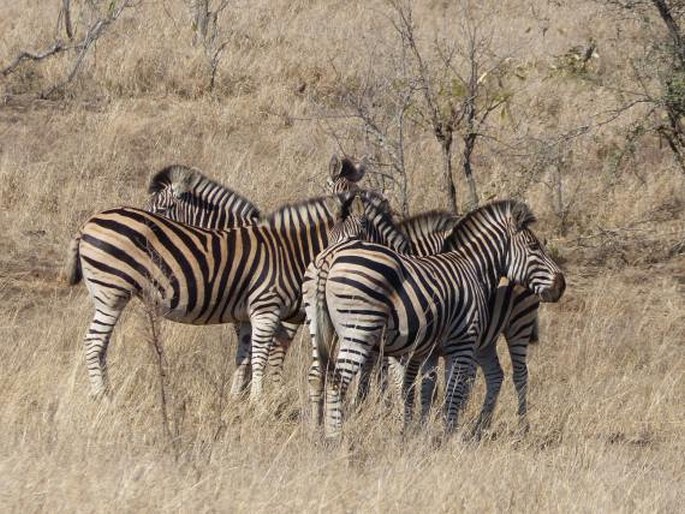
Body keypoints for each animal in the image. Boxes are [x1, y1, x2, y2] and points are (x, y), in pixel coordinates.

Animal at [65, 190, 400, 398]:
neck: (288, 251)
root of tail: (88, 223)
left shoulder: (245, 316)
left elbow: (244, 357)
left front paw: (238, 401)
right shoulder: (265, 307)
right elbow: (261, 356)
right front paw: (259, 403)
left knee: (99, 344)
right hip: (111, 292)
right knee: (94, 342)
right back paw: (103, 396)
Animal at [302, 198, 564, 434]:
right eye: (533, 246)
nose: (561, 284)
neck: (473, 267)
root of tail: (328, 261)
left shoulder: (430, 349)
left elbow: (424, 389)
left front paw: (418, 431)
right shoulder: (459, 343)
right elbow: (445, 391)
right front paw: (443, 434)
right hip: (361, 329)